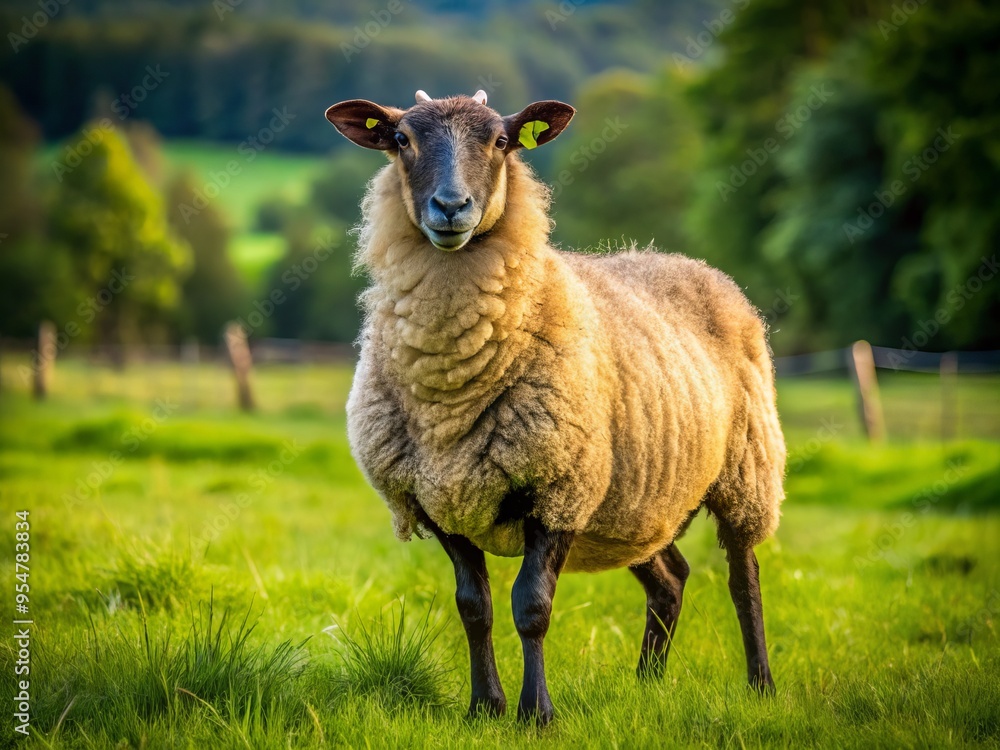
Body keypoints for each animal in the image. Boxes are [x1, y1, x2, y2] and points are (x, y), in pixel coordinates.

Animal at [325, 89, 786, 725]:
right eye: (400, 140)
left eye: (501, 141)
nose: (451, 207)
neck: (450, 393)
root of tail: (691, 263)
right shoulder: (438, 502)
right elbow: (474, 607)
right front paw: (485, 707)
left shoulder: (558, 492)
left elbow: (532, 606)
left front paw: (536, 713)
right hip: (631, 502)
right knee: (670, 578)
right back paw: (646, 685)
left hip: (744, 469)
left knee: (745, 578)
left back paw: (760, 685)